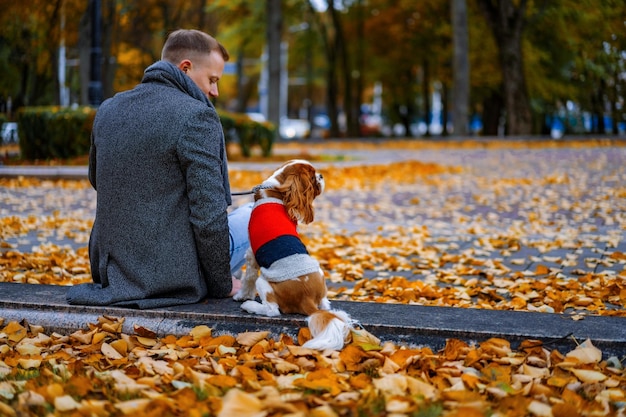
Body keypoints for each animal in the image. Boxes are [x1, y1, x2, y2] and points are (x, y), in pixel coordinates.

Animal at [233, 161, 354, 350]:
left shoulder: (252, 253)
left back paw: (250, 306)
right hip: (319, 273)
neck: (274, 191)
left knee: (272, 310)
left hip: (264, 282)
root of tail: (308, 300)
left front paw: (242, 296)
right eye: (312, 176)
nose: (321, 176)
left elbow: (248, 278)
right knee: (325, 303)